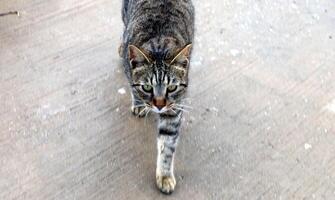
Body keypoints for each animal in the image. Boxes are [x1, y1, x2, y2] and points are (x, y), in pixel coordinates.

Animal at [120, 0, 194, 194]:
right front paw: (139, 103)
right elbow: (133, 87)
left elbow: (167, 145)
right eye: (147, 87)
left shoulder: (174, 109)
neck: (159, 46)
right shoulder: (130, 70)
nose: (159, 105)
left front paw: (165, 175)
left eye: (172, 87)